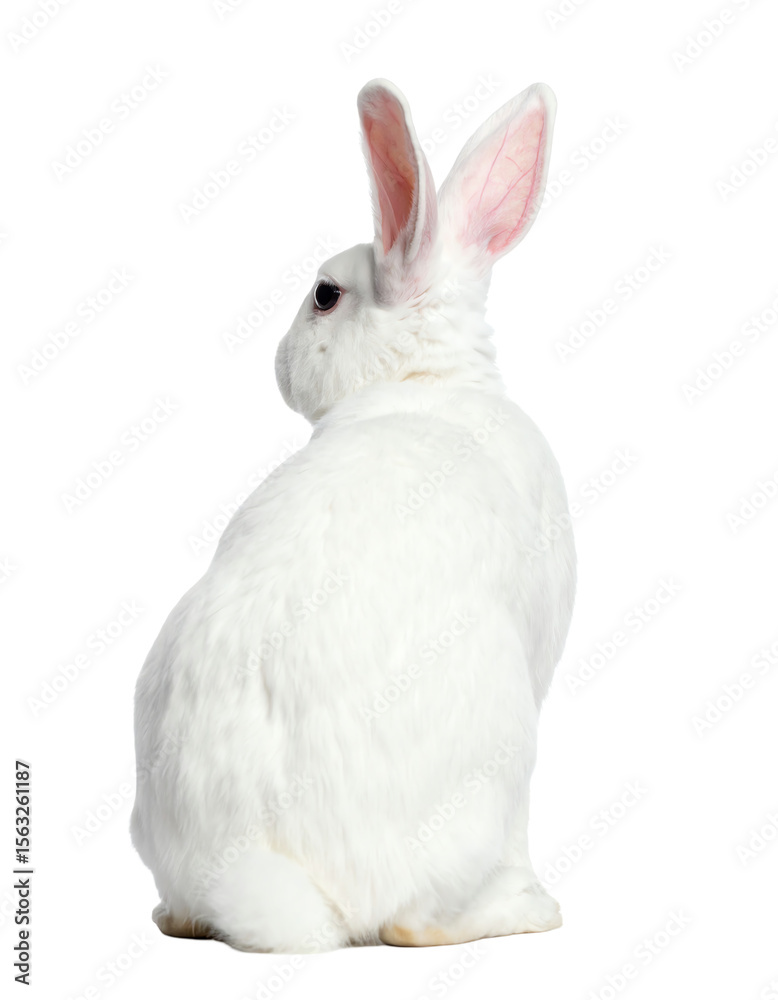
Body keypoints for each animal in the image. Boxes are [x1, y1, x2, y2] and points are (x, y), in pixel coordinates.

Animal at [131, 78, 576, 953]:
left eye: (325, 297)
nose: (277, 362)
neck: (425, 380)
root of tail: (250, 873)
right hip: (497, 754)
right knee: (412, 921)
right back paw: (530, 909)